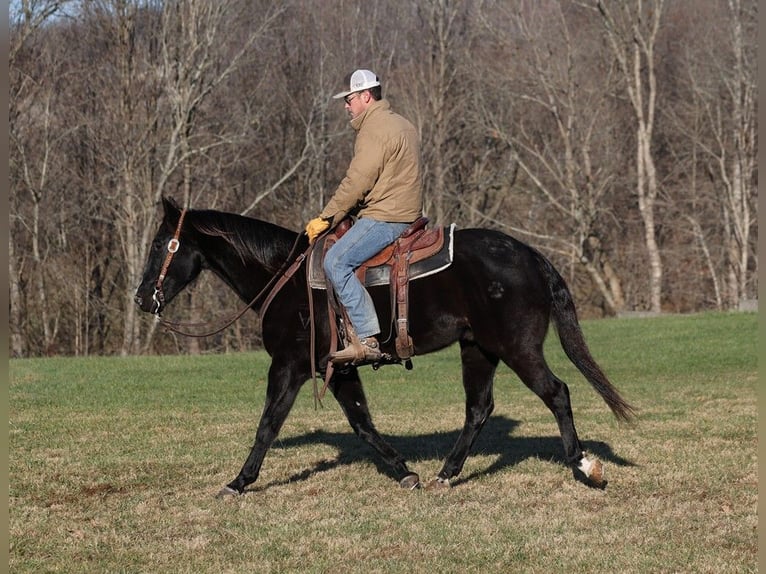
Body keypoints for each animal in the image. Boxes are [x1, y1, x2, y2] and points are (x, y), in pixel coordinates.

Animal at [134, 197, 636, 496]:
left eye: (161, 245)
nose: (141, 298)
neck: (285, 277)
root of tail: (531, 255)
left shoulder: (289, 366)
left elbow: (268, 425)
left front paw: (239, 482)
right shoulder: (339, 369)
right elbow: (363, 424)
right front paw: (404, 470)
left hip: (516, 348)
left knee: (557, 393)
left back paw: (584, 465)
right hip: (478, 349)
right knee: (479, 408)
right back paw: (446, 474)